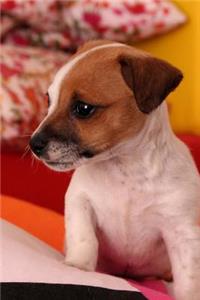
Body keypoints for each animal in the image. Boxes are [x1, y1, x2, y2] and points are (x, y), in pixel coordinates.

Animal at [29, 40, 200, 300]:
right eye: (49, 101)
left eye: (83, 108)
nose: (33, 144)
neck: (124, 167)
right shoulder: (80, 201)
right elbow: (84, 238)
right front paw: (78, 266)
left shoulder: (181, 231)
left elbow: (188, 278)